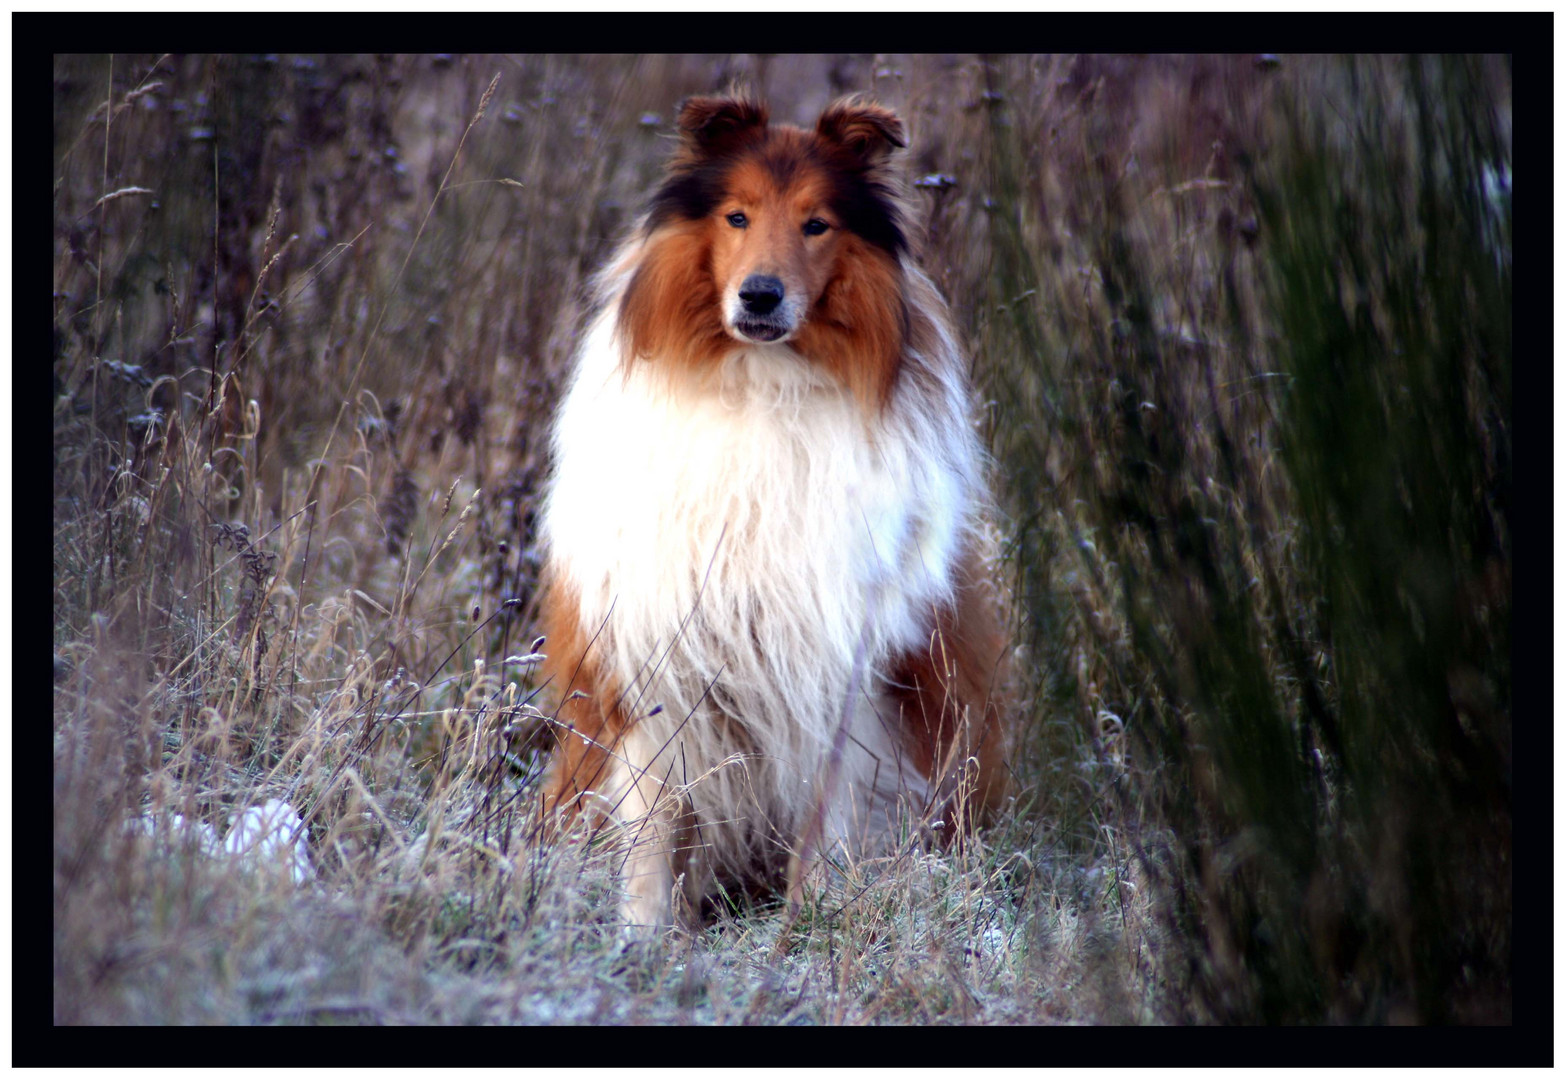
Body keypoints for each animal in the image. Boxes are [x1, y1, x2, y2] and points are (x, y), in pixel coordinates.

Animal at [532, 96, 1008, 926]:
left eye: (817, 224)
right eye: (737, 216)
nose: (760, 294)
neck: (761, 384)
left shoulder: (841, 668)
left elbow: (832, 818)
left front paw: (813, 923)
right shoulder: (656, 656)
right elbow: (653, 821)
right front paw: (643, 931)